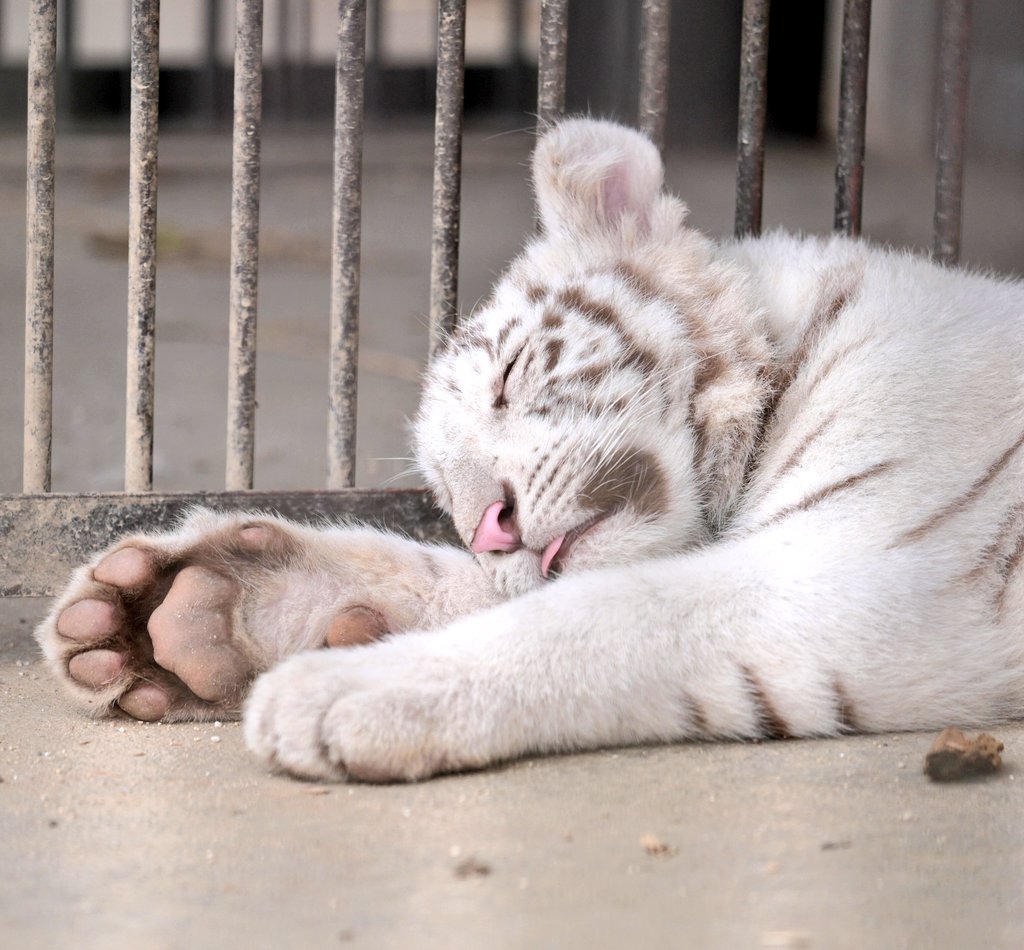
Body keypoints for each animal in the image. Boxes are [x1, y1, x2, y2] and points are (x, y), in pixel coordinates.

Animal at [34, 118, 1024, 782]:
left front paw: (338, 692)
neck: (788, 352)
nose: (494, 525)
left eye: (511, 376)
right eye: (447, 493)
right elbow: (480, 587)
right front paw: (191, 611)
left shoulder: (875, 560)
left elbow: (603, 612)